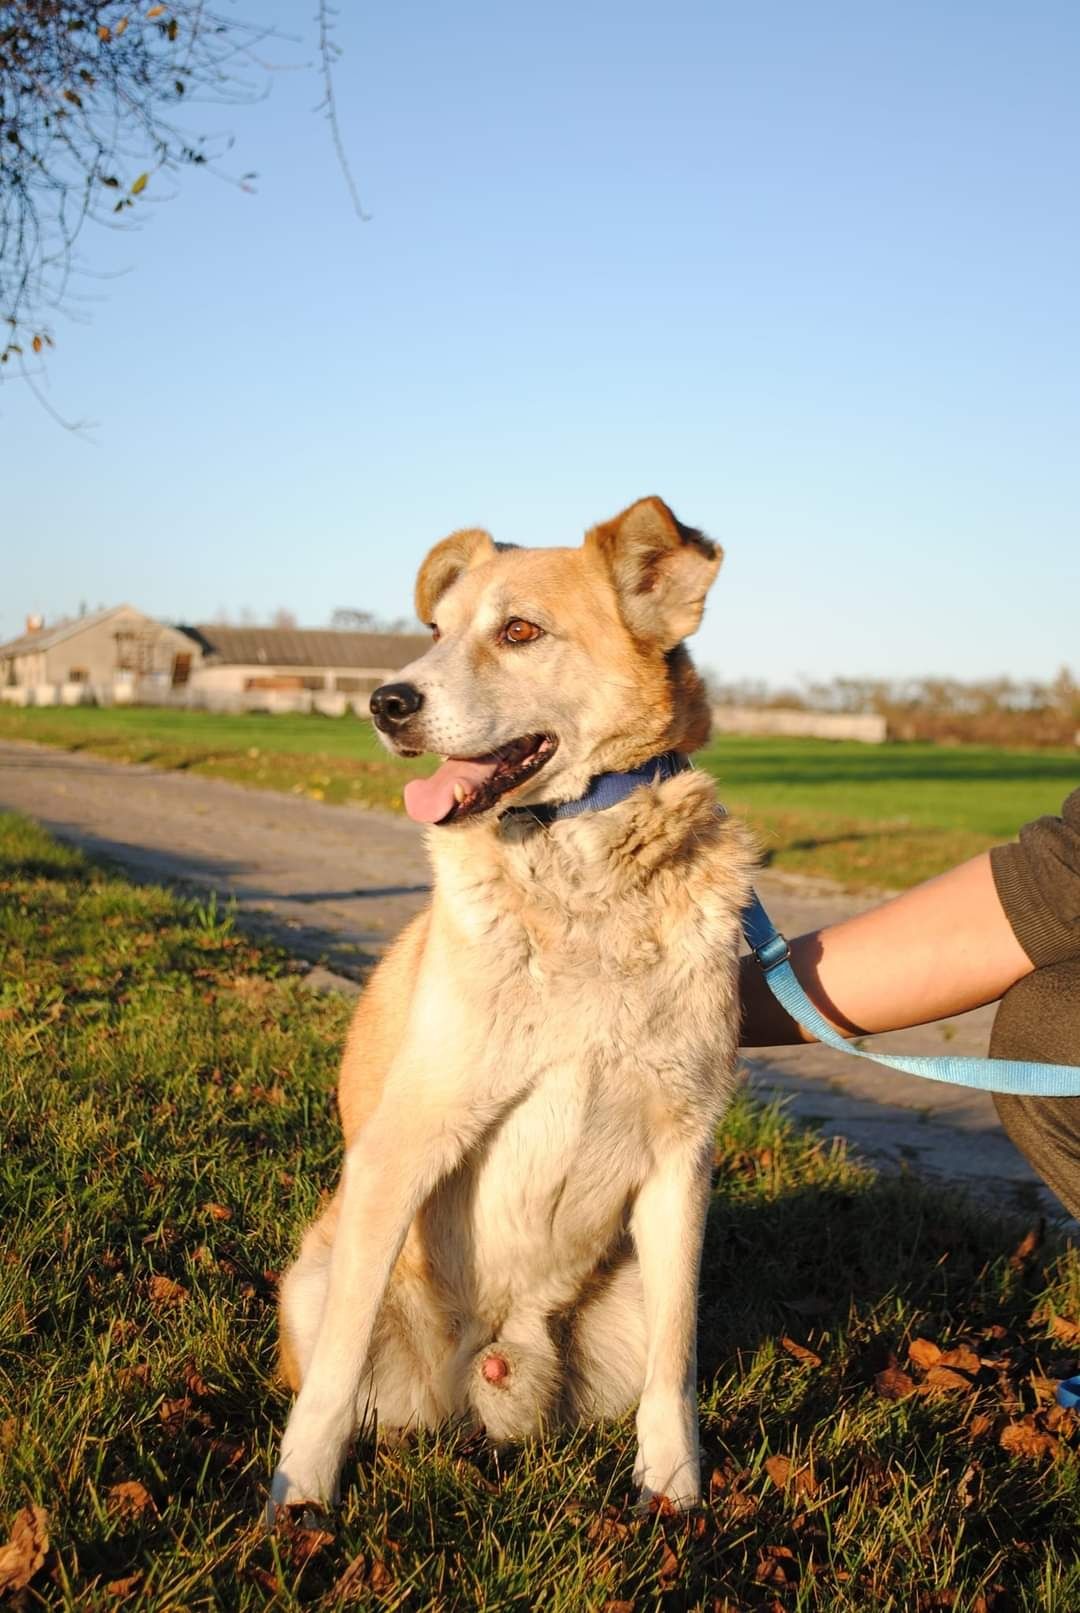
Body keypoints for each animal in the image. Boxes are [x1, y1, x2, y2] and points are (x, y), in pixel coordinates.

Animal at [269, 490, 757, 1509]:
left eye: (520, 631)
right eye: (435, 632)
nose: (386, 701)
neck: (583, 889)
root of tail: (488, 1365)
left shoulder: (682, 1160)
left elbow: (678, 1364)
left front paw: (675, 1491)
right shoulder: (408, 1142)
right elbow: (333, 1371)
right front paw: (298, 1494)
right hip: (315, 1272)